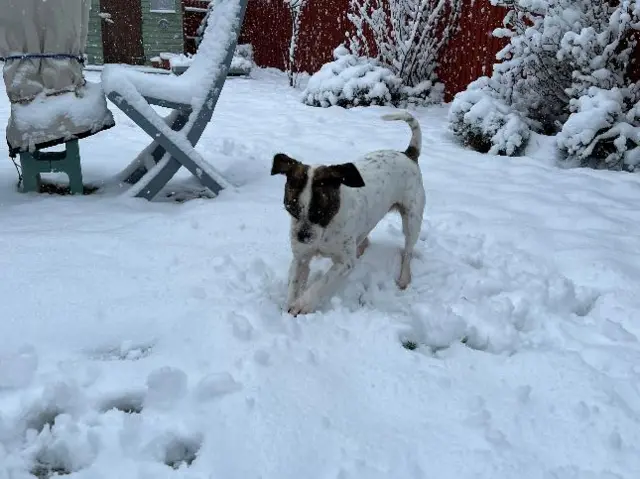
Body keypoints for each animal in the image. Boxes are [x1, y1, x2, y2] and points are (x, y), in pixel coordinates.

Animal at [270, 110, 424, 316]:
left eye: (320, 212)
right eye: (290, 208)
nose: (301, 236)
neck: (326, 230)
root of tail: (407, 154)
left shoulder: (345, 262)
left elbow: (322, 283)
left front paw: (304, 304)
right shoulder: (301, 257)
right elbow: (294, 284)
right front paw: (290, 305)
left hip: (412, 220)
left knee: (407, 252)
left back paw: (404, 277)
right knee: (366, 239)